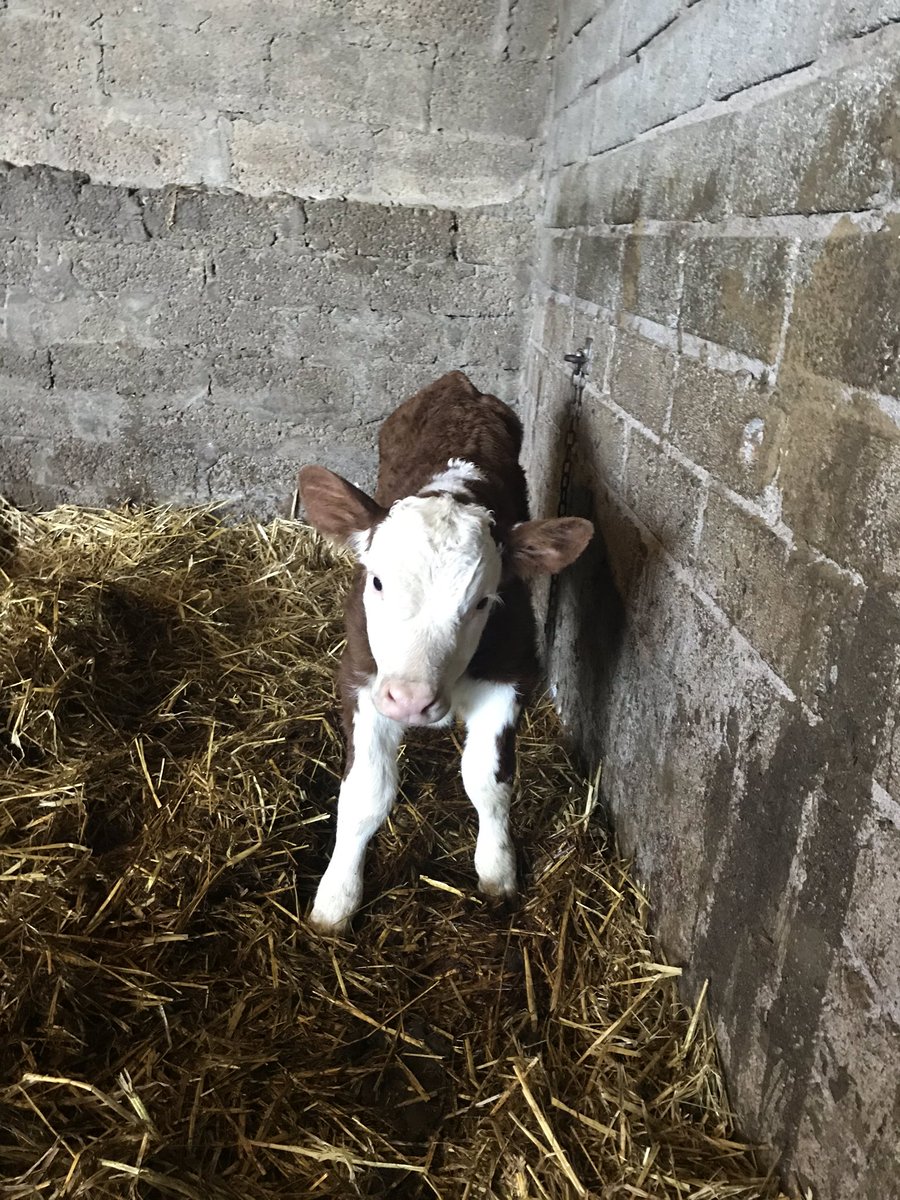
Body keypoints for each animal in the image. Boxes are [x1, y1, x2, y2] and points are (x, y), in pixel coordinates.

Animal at [298, 371, 593, 933]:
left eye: (481, 602)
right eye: (377, 581)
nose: (411, 701)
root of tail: (458, 384)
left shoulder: (511, 675)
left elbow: (487, 780)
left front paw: (497, 871)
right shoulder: (362, 678)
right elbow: (366, 793)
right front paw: (335, 900)